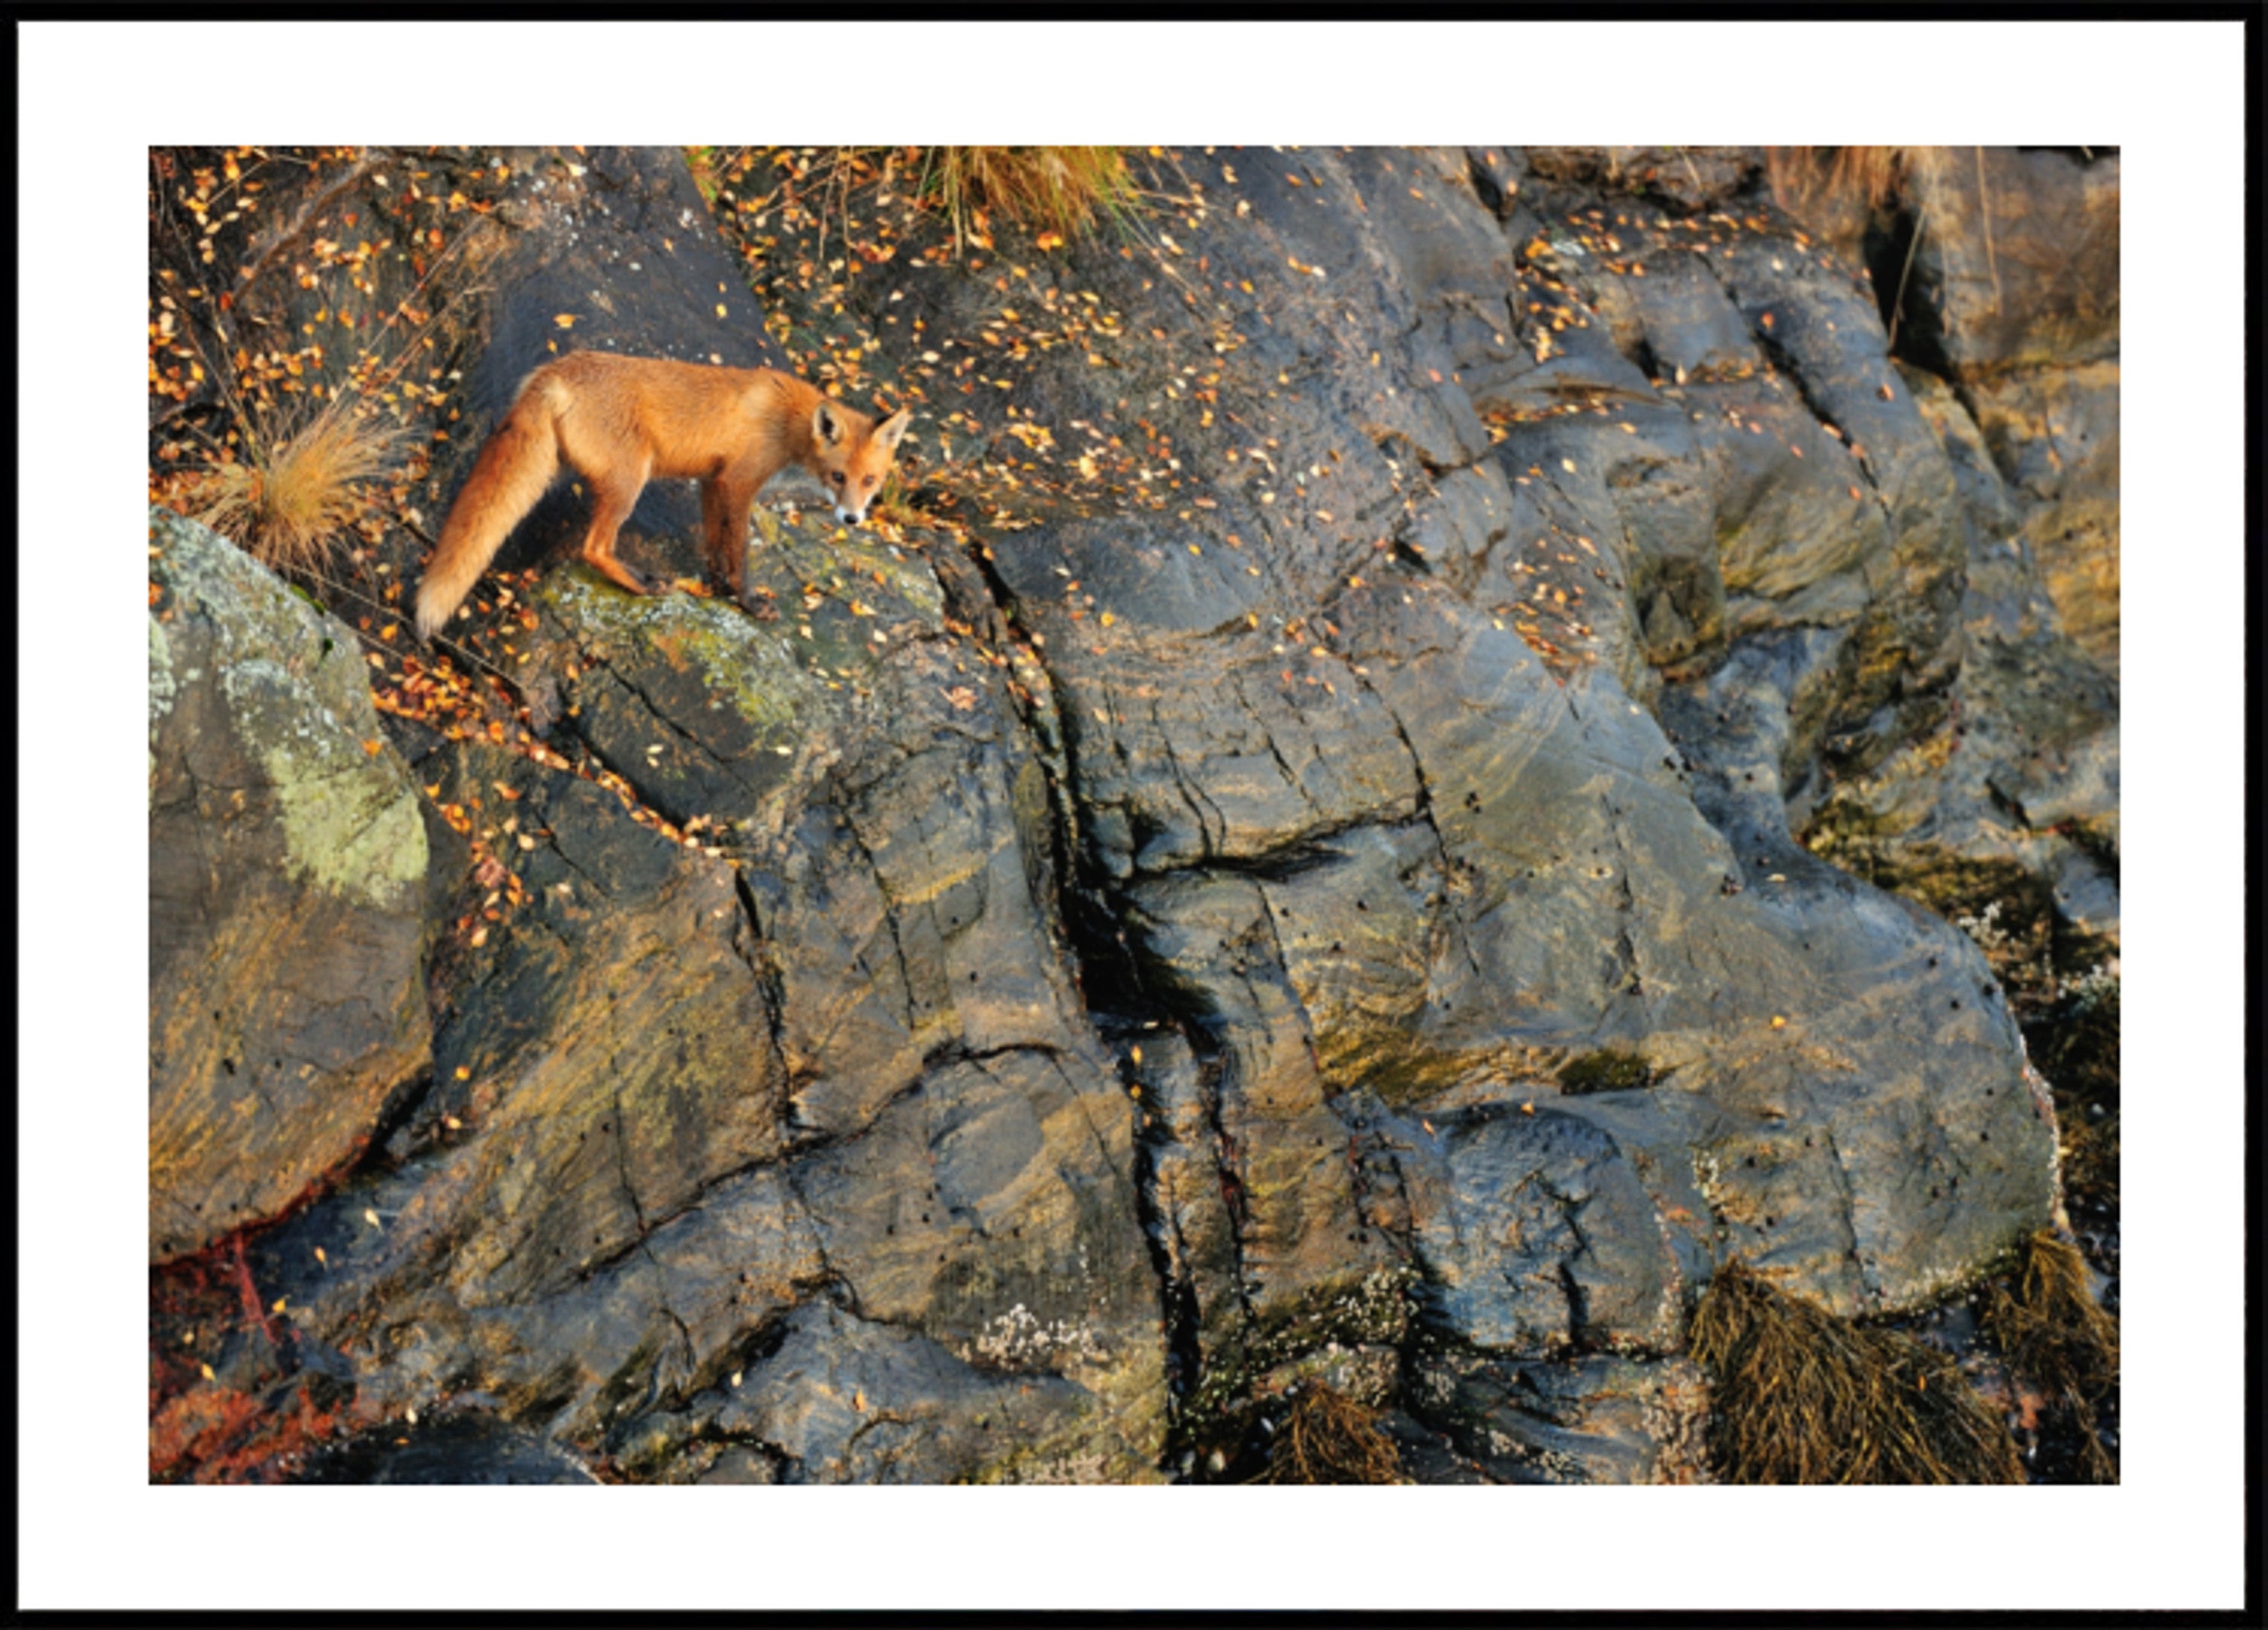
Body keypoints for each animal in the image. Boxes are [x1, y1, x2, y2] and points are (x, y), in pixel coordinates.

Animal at [414, 350, 912, 640]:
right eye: (837, 477)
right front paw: (748, 602)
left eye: (870, 481)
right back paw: (641, 584)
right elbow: (739, 550)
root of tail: (555, 372)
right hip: (630, 480)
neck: (786, 417)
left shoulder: (712, 481)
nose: (852, 520)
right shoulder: (739, 483)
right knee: (593, 548)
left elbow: (714, 544)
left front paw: (718, 588)